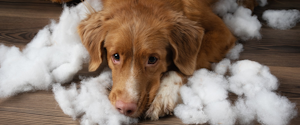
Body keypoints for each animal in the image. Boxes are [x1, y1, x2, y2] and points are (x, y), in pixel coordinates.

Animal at [78, 0, 238, 120]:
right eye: (116, 56)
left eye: (152, 59)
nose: (124, 108)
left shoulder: (222, 33)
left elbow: (187, 64)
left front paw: (164, 95)